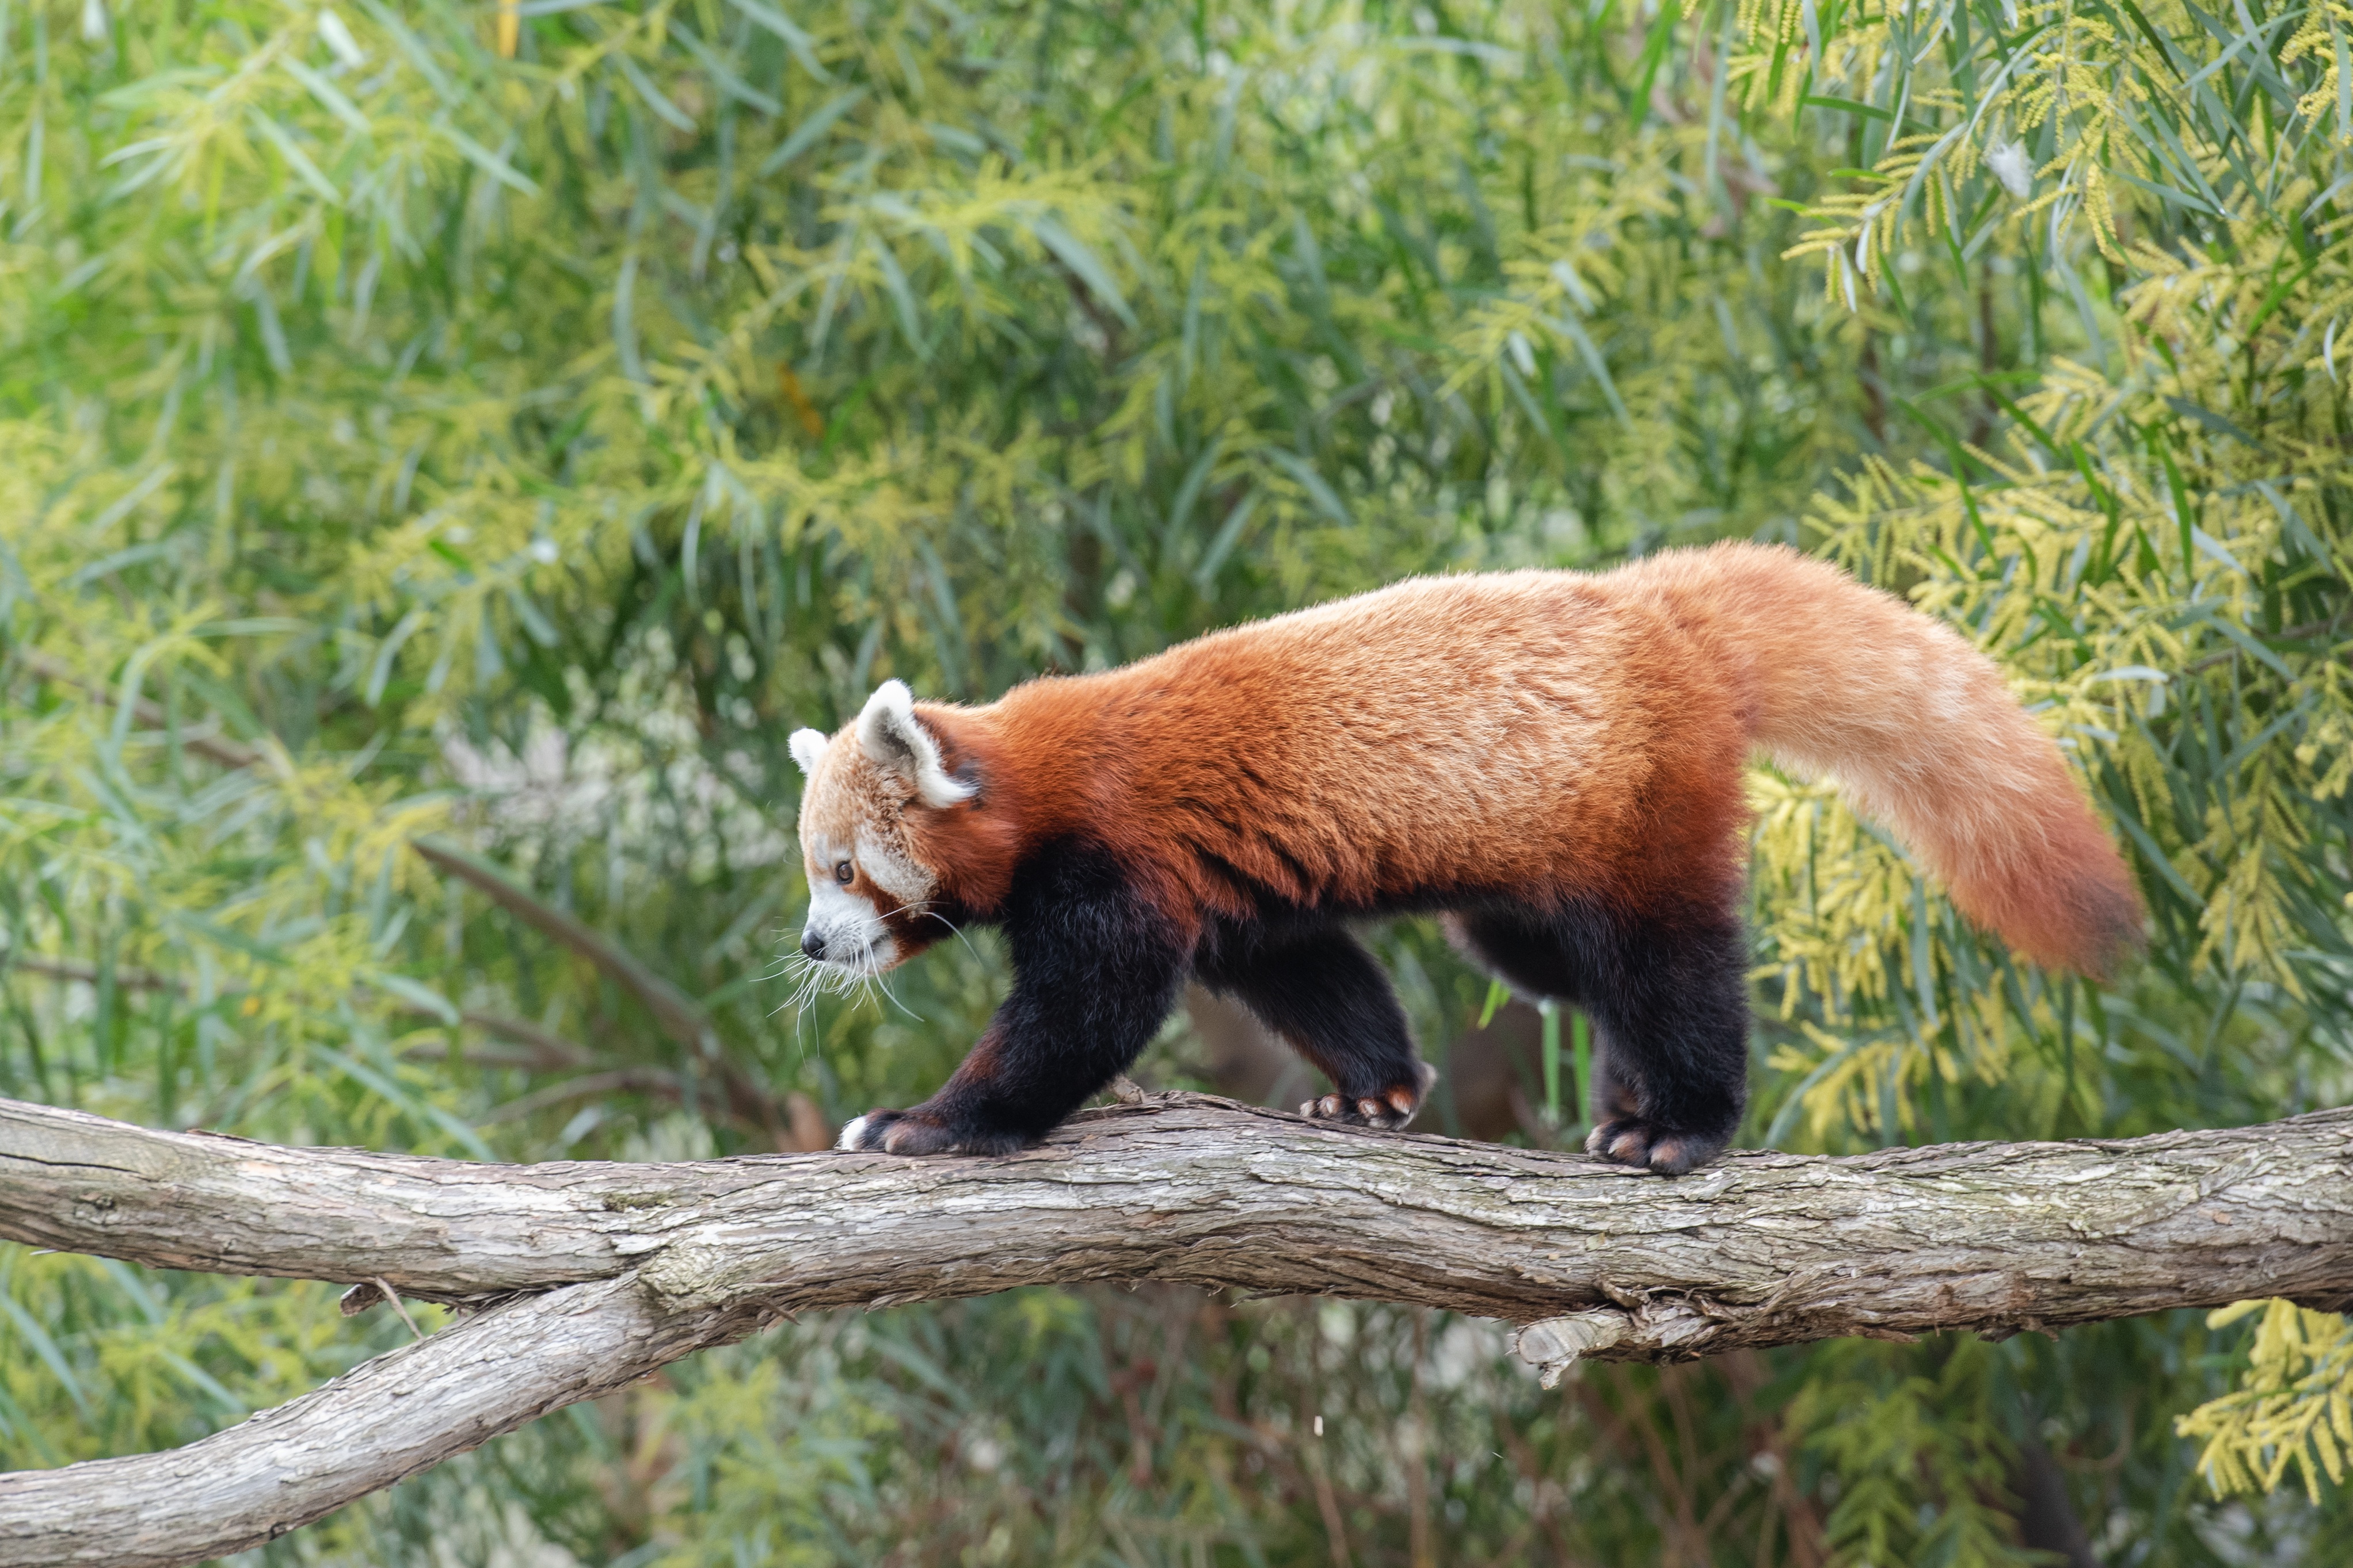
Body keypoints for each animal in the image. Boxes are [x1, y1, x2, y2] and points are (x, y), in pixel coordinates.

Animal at [795, 545, 2155, 1170]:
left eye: (844, 873)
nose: (811, 943)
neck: (1034, 781)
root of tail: (1661, 610)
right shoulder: (1233, 892)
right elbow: (1311, 969)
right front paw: (1373, 1088)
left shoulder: (1115, 857)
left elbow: (1083, 1014)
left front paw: (926, 1121)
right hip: (1528, 881)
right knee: (1569, 973)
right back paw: (1624, 1100)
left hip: (1637, 810)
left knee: (1669, 964)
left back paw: (1678, 1126)